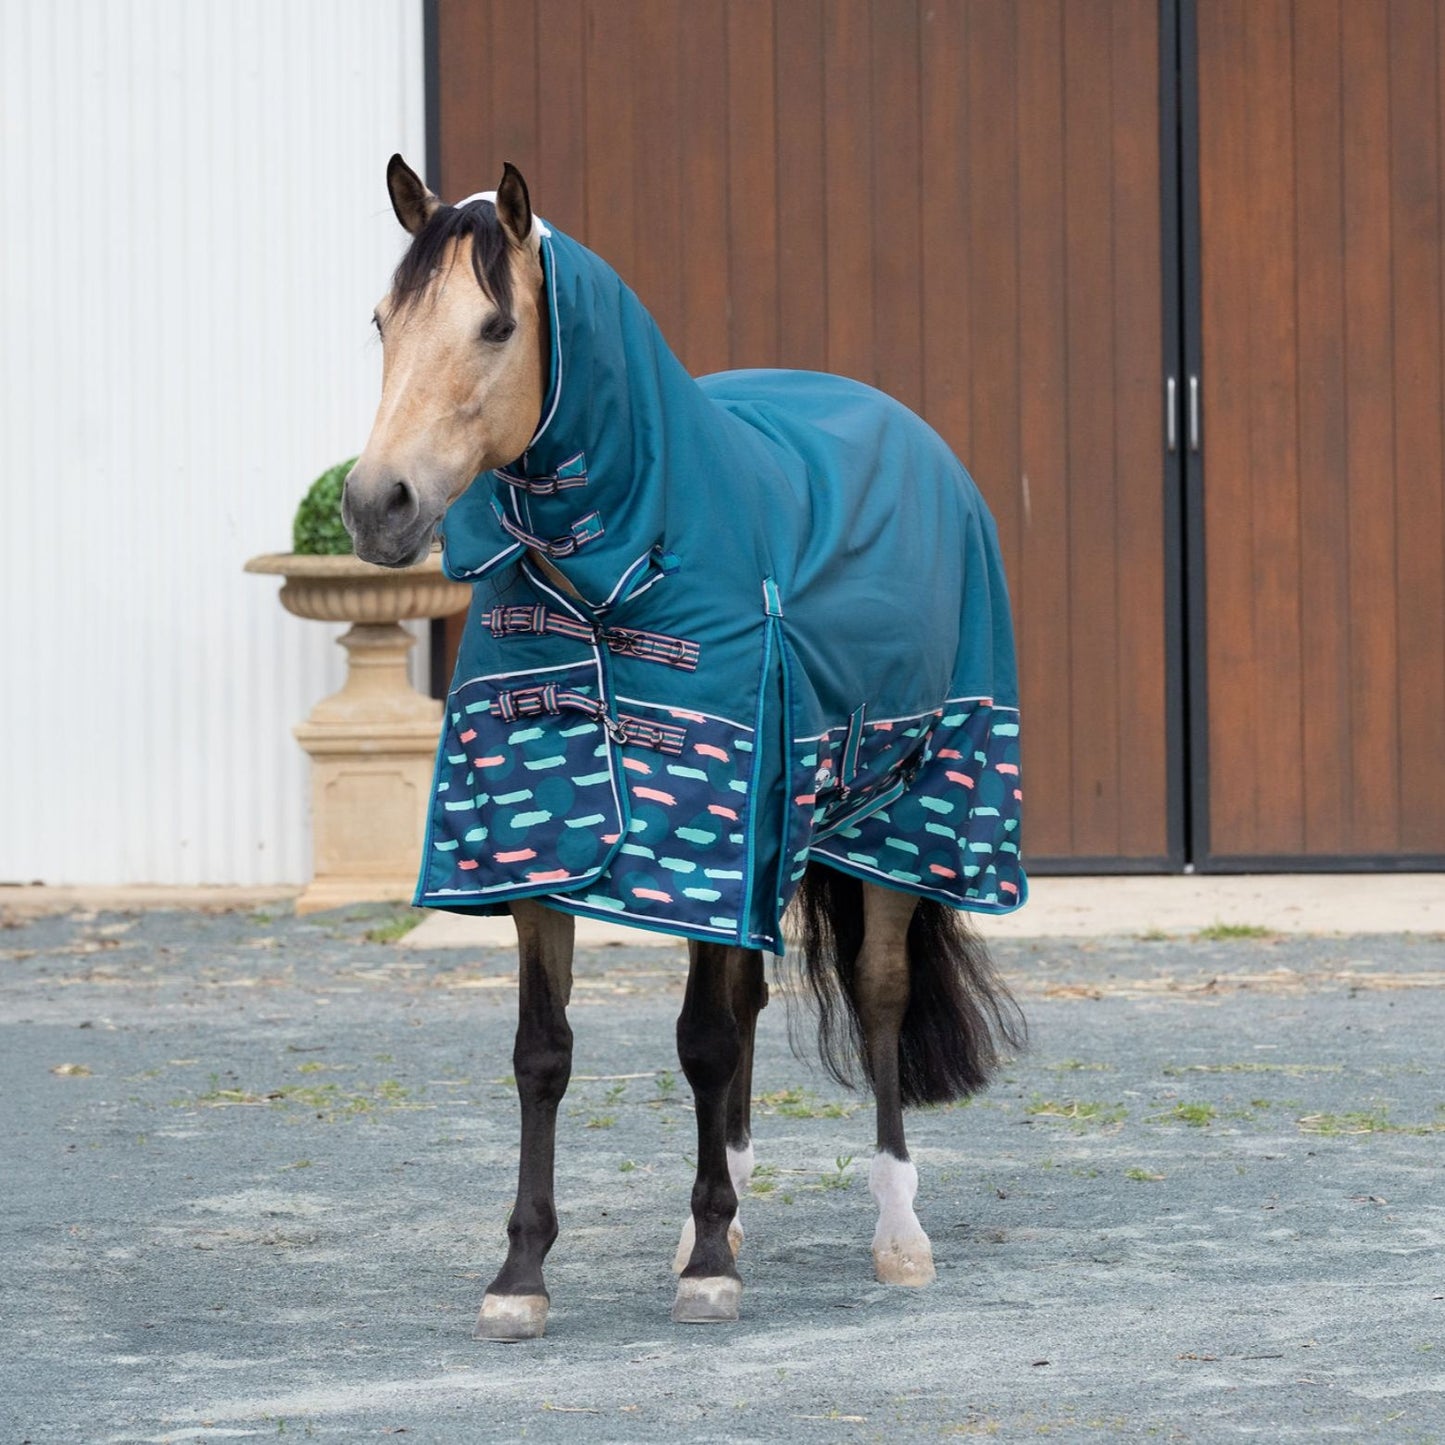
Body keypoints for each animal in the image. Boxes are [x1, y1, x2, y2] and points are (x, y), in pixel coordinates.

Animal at [344, 157, 1028, 1340]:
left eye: (494, 324)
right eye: (382, 319)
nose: (375, 503)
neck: (619, 566)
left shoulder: (716, 828)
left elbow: (703, 1041)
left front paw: (708, 1268)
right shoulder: (548, 842)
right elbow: (544, 1052)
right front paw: (524, 1272)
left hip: (903, 821)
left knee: (879, 995)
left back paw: (896, 1231)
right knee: (749, 1004)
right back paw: (733, 1205)